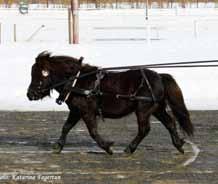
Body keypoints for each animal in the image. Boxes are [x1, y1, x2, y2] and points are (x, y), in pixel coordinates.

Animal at [26, 51, 194, 155]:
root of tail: (159, 76)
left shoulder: (86, 111)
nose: (30, 94)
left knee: (144, 129)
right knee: (170, 123)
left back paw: (129, 149)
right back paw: (179, 145)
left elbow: (93, 132)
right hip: (157, 108)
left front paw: (107, 147)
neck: (77, 81)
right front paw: (58, 146)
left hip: (143, 109)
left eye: (39, 74)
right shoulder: (76, 111)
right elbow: (66, 127)